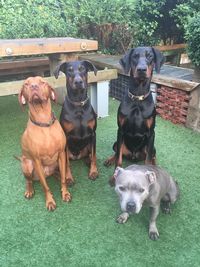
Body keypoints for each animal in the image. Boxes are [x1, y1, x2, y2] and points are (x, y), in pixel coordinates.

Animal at [17, 76, 71, 210]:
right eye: (26, 84)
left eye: (42, 82)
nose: (34, 86)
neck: (43, 121)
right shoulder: (36, 161)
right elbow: (45, 186)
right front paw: (50, 201)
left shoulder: (62, 154)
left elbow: (63, 178)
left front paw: (65, 192)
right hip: (27, 164)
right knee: (29, 180)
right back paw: (29, 190)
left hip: (56, 163)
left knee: (59, 174)